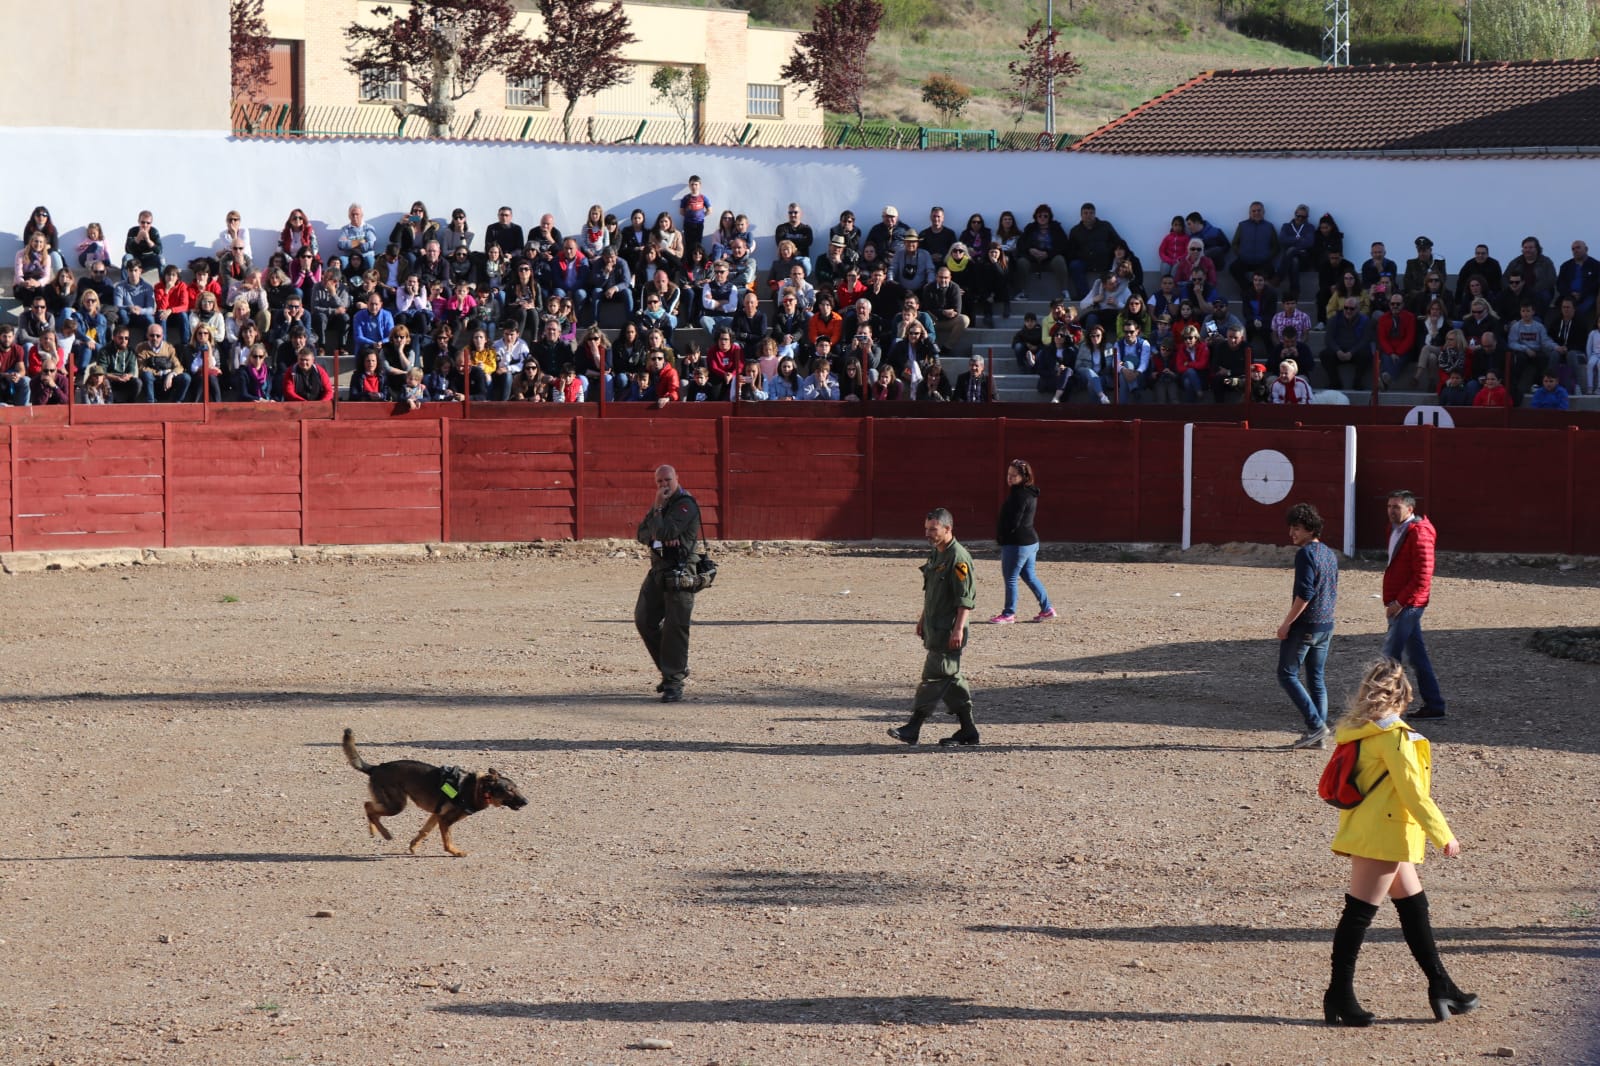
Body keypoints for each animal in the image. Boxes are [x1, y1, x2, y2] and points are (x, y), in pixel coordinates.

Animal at [342, 723, 528, 857]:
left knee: (371, 808)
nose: (526, 801)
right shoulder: (445, 820)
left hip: (390, 803)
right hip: (396, 805)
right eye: (509, 790)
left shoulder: (436, 815)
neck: (479, 788)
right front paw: (455, 852)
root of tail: (376, 767)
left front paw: (413, 846)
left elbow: (424, 832)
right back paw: (385, 833)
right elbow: (447, 841)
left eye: (517, 788)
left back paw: (374, 830)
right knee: (368, 807)